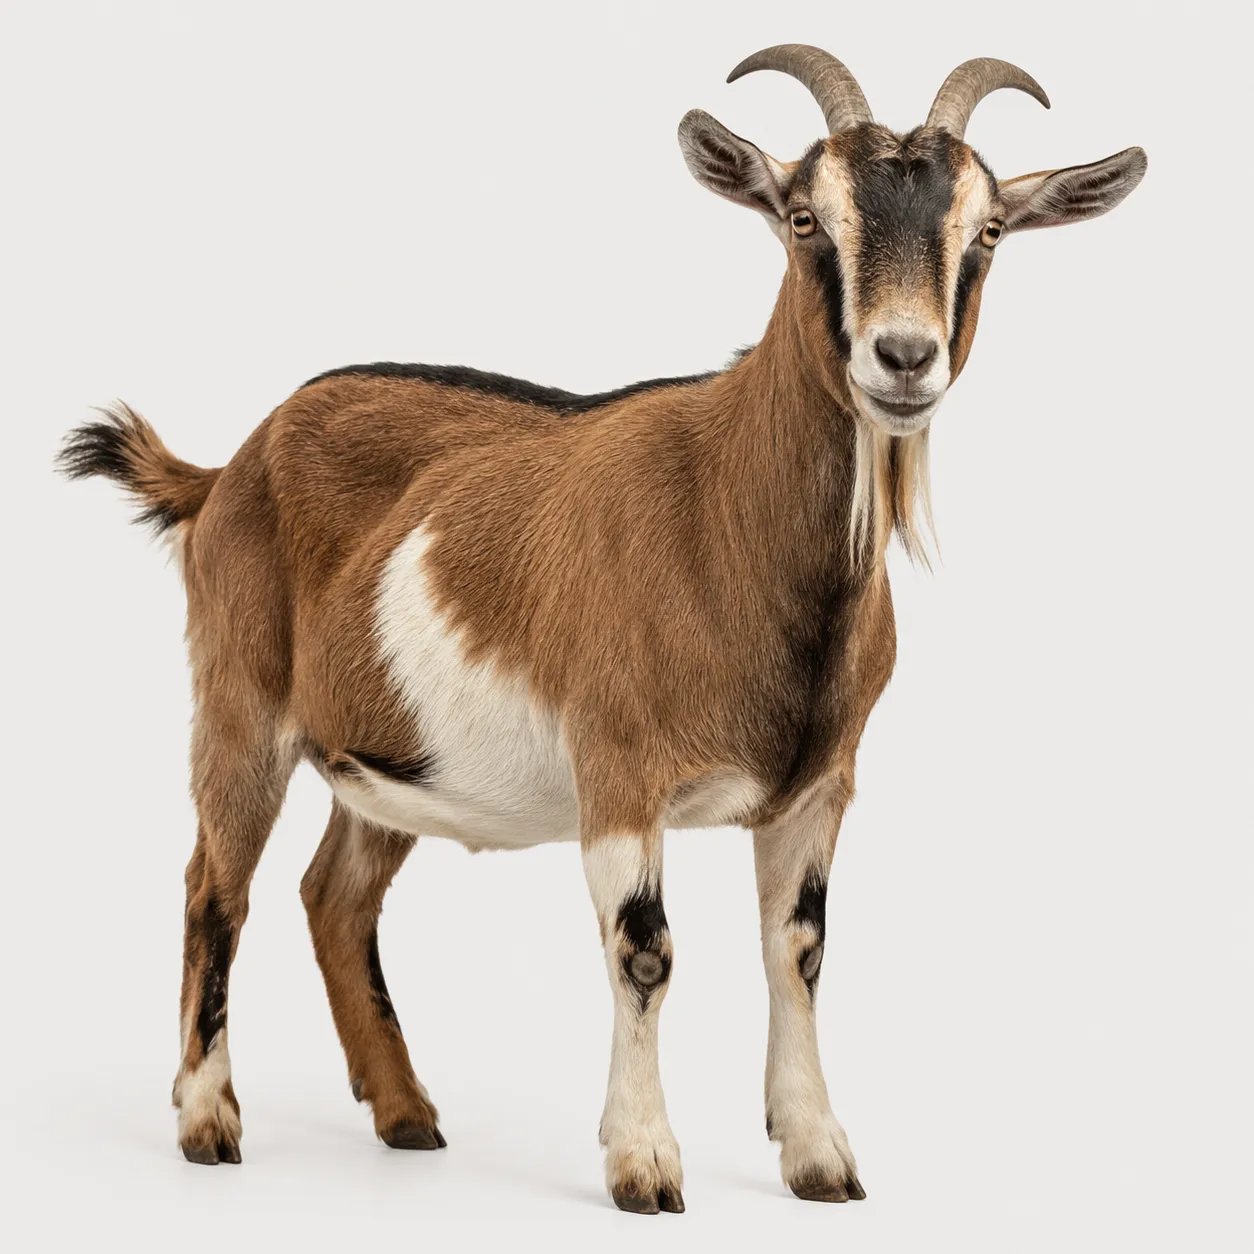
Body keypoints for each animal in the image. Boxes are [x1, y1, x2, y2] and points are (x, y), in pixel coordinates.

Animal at [59, 46, 1145, 1213]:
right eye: (804, 217)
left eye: (986, 231)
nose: (903, 357)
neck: (726, 518)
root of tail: (226, 468)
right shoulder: (620, 766)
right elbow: (646, 952)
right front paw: (644, 1165)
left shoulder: (821, 784)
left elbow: (799, 949)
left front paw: (818, 1157)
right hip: (239, 700)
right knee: (215, 889)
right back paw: (209, 1122)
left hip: (390, 756)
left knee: (333, 898)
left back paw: (406, 1115)